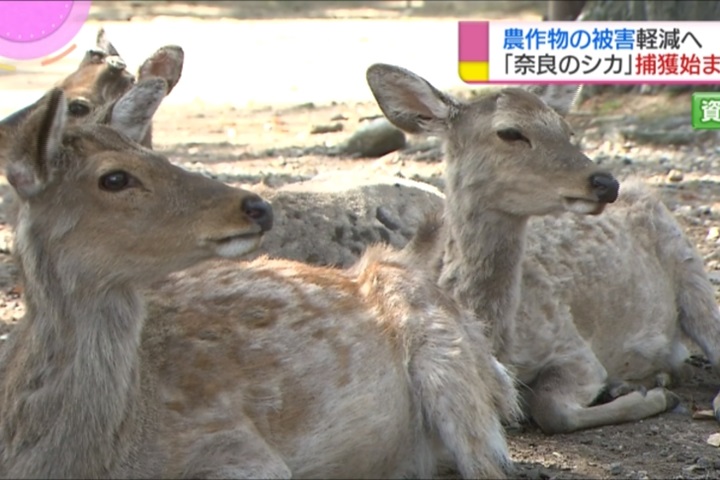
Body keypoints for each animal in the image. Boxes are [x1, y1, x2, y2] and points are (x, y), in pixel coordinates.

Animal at [366, 63, 720, 436]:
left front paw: (655, 399)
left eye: (567, 130)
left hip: (690, 267)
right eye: (509, 132)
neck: (502, 344)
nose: (606, 183)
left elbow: (551, 408)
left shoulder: (572, 345)